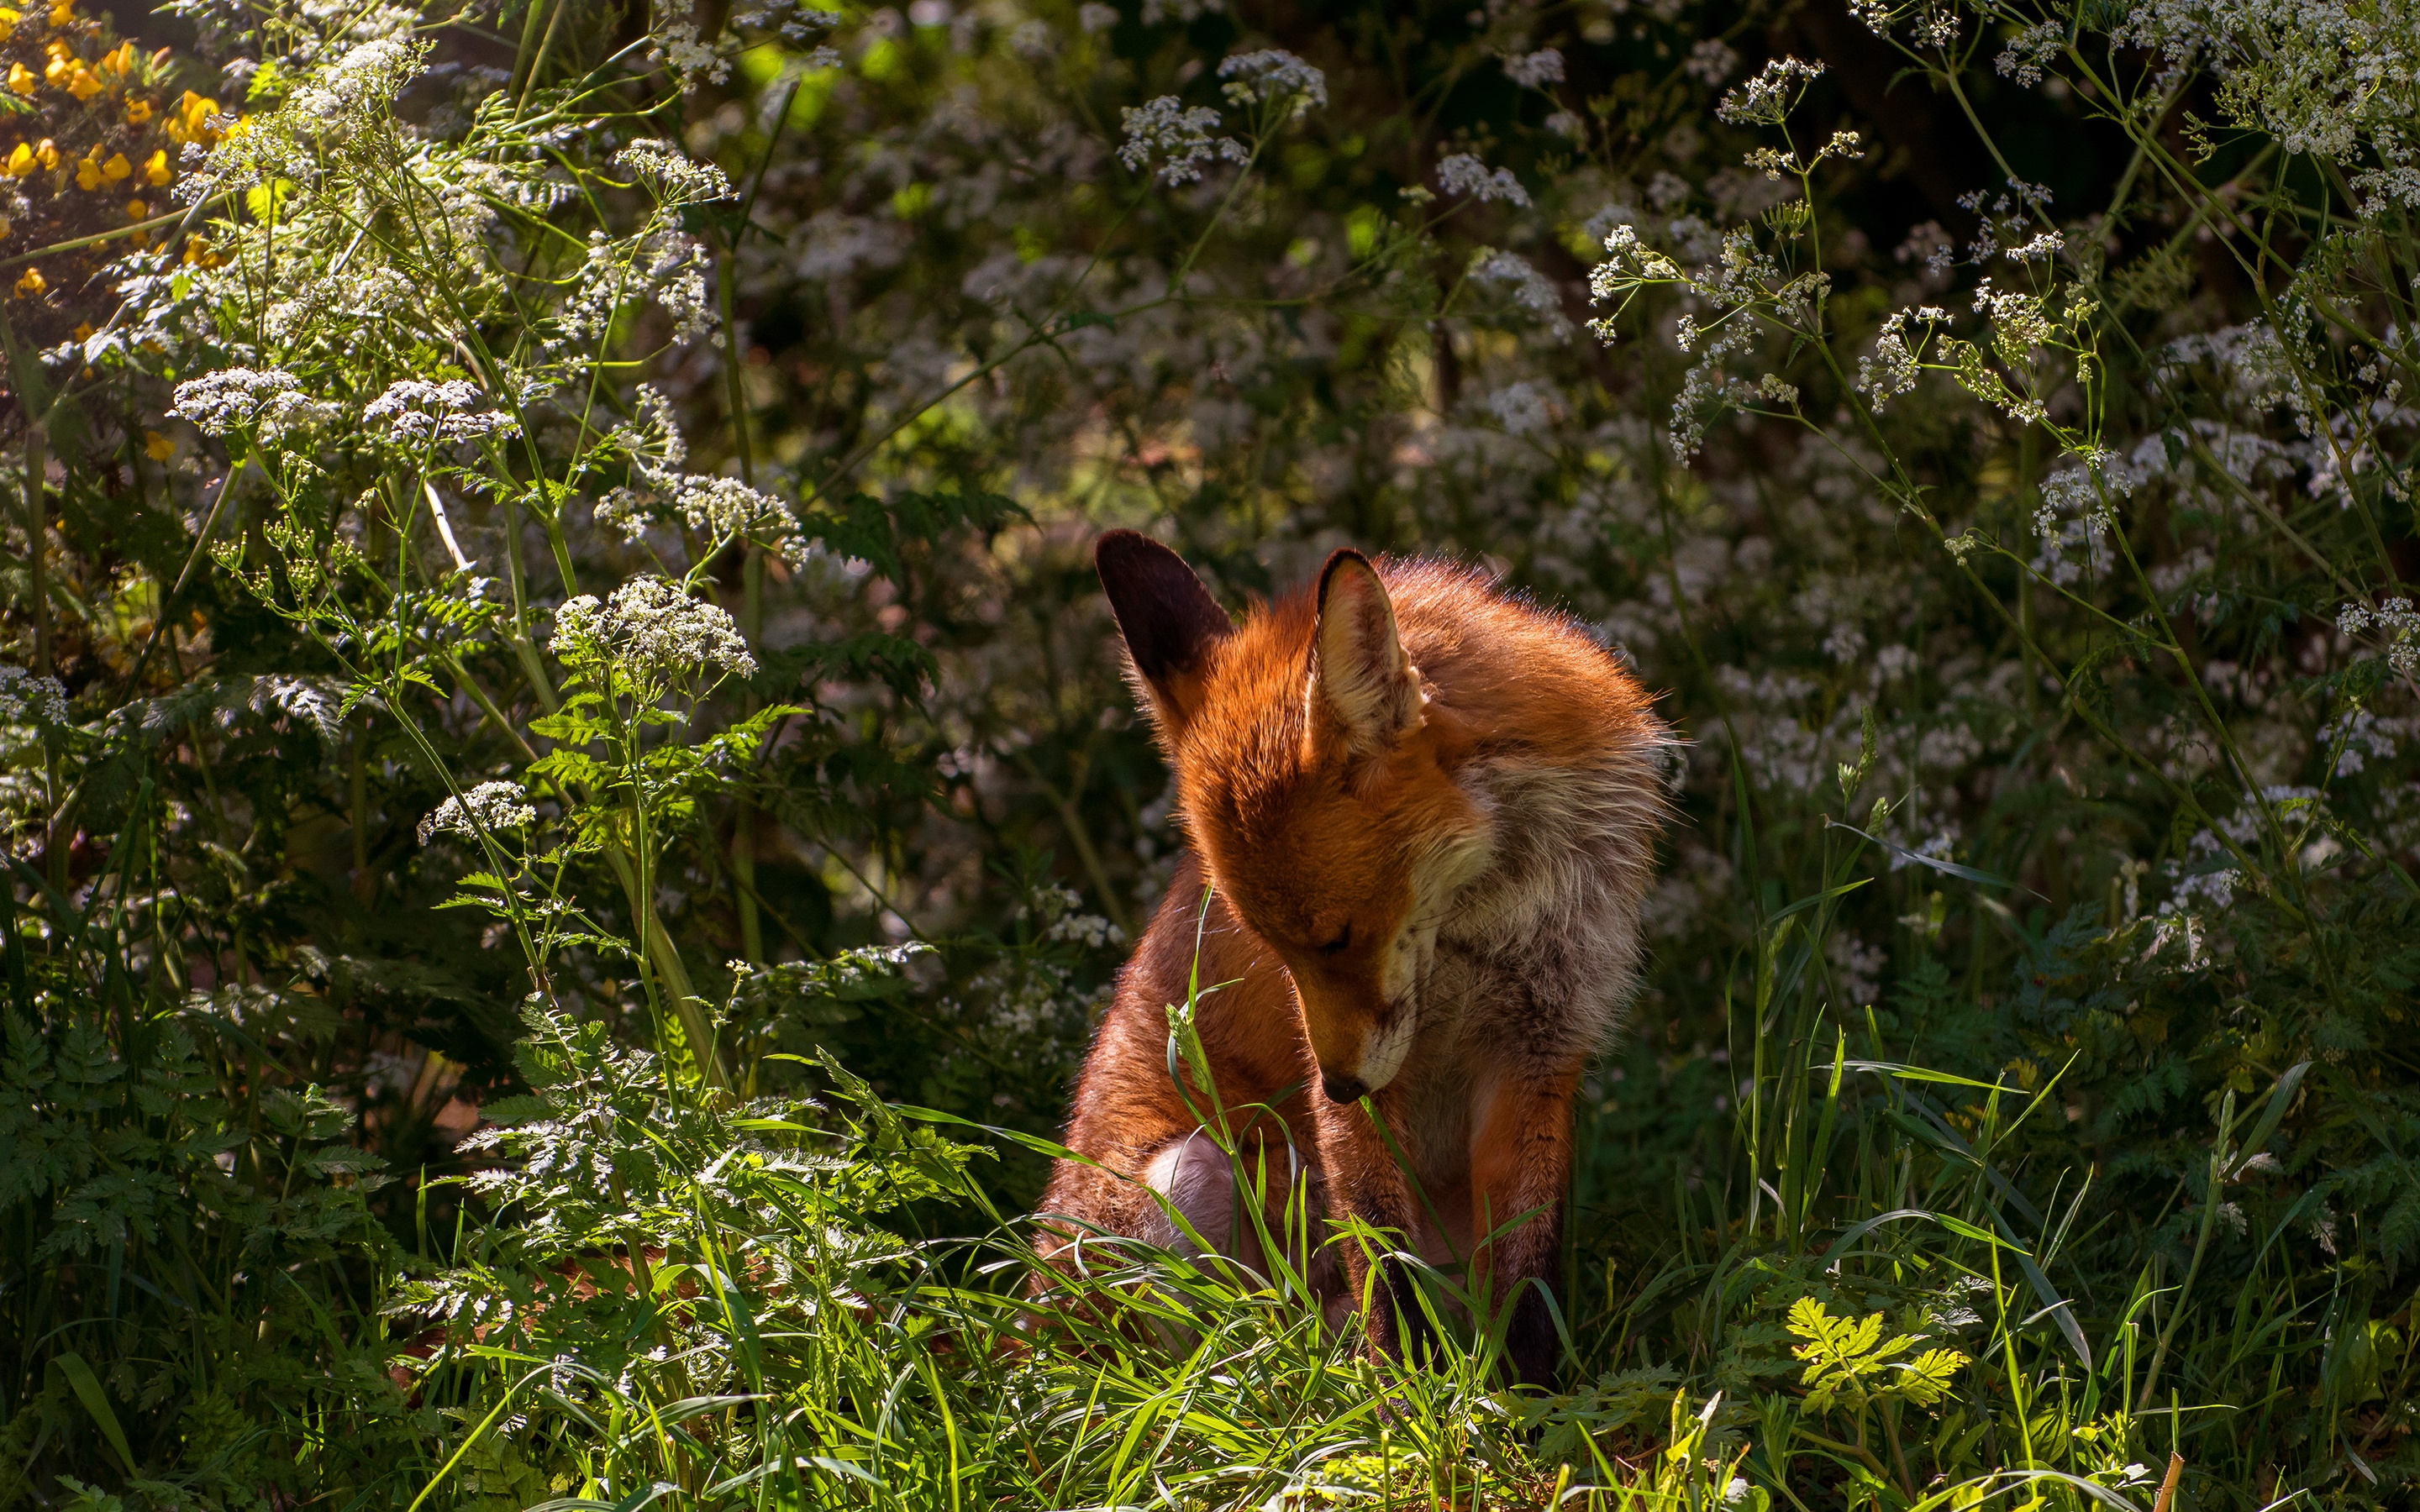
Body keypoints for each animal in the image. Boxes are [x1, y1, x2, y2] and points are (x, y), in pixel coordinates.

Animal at [1030, 529, 1674, 1383]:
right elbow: (1384, 1261)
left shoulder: (1541, 1043)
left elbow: (1528, 1275)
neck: (1481, 926)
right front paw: (1410, 1396)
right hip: (1183, 1178)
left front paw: (1531, 1396)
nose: (1336, 1086)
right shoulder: (1364, 1080)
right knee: (1221, 1360)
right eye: (1273, 949)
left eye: (1334, 937)